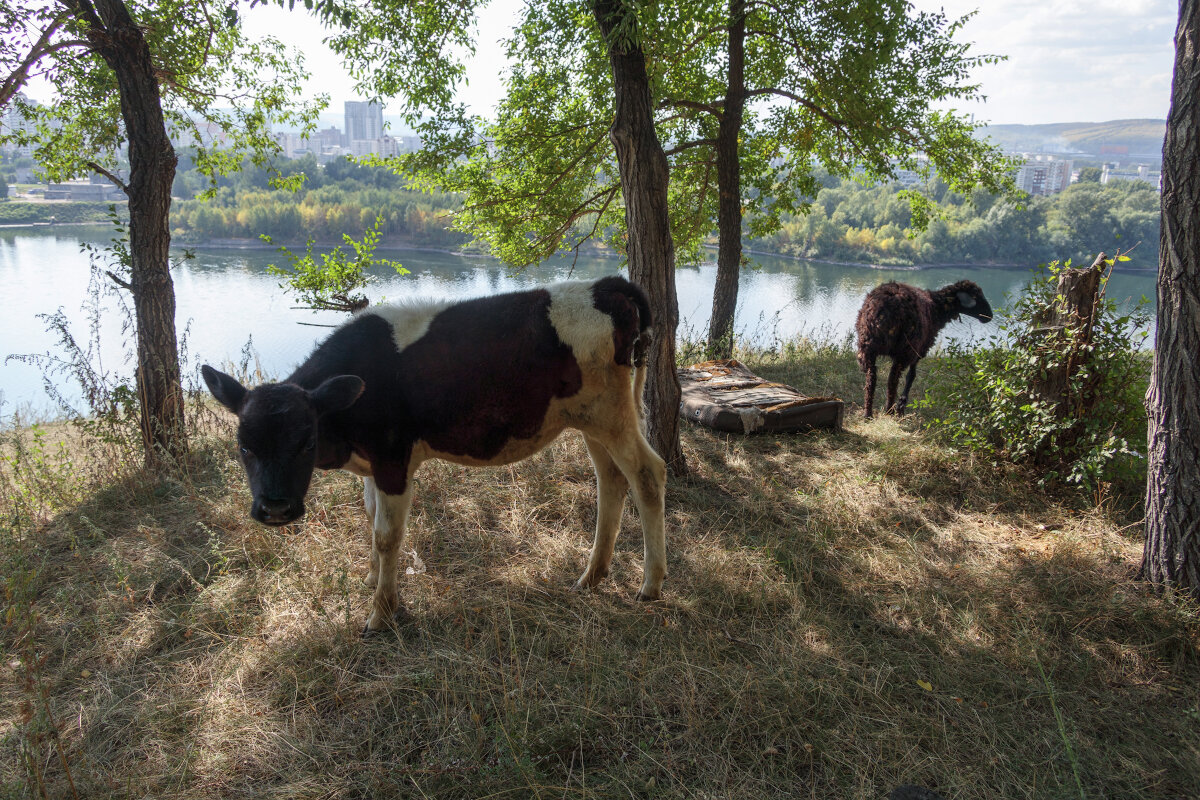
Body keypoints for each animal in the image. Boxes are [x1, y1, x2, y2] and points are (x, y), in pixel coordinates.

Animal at [204, 278, 667, 633]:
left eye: (306, 442)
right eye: (244, 446)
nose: (275, 509)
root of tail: (606, 286)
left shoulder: (393, 459)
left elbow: (387, 535)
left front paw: (381, 613)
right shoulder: (372, 464)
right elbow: (369, 515)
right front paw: (371, 577)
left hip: (610, 412)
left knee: (647, 473)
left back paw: (650, 584)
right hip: (590, 419)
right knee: (611, 480)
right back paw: (592, 576)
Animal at [854, 280, 993, 419]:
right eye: (976, 297)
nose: (990, 316)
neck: (937, 309)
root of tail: (881, 311)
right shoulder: (919, 350)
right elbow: (911, 376)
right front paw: (902, 404)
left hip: (867, 347)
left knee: (871, 377)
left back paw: (868, 414)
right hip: (904, 349)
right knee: (892, 379)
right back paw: (890, 410)